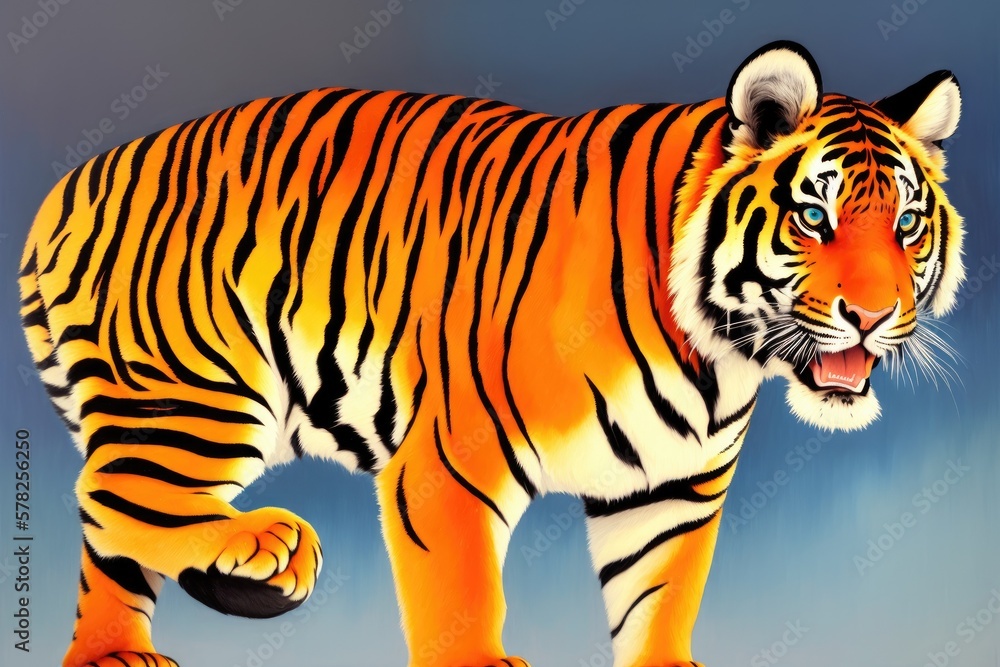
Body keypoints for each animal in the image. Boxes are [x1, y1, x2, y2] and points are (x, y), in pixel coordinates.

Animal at [18, 40, 963, 667]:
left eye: (908, 224)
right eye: (815, 216)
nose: (874, 315)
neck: (717, 361)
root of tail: (72, 182)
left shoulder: (671, 492)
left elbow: (661, 599)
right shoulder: (449, 464)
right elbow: (464, 595)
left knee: (111, 521)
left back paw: (117, 653)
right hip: (200, 391)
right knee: (109, 496)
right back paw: (269, 547)